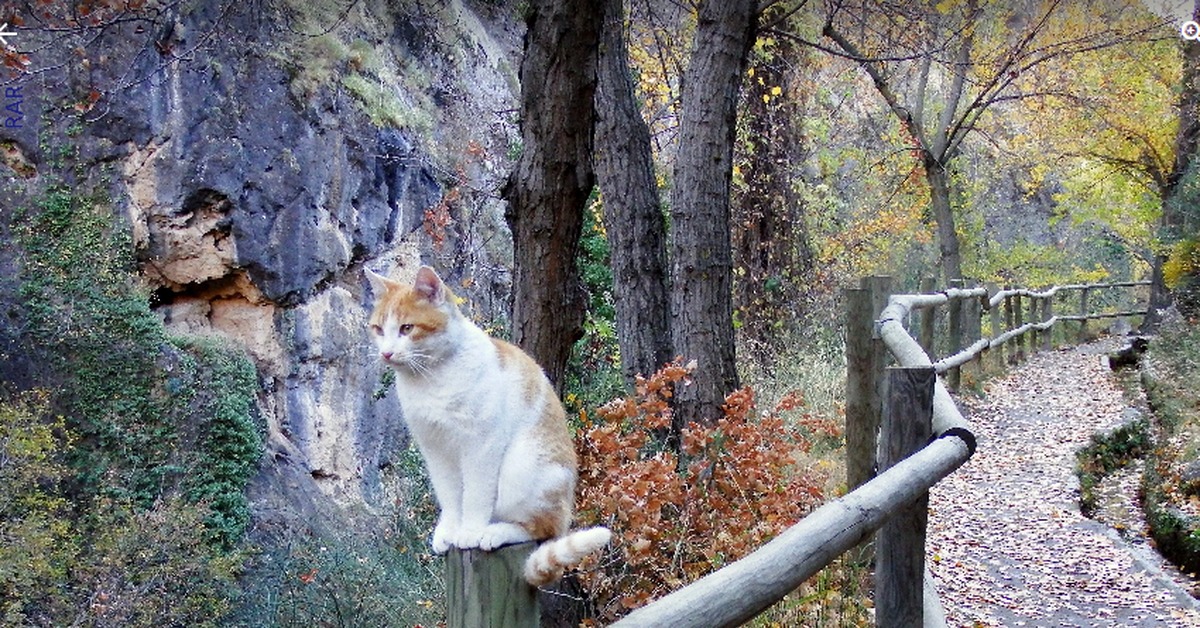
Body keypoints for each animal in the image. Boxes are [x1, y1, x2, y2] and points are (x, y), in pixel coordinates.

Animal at [362, 262, 609, 588]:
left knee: (543, 528)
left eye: (407, 328)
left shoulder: (481, 445)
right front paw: (450, 530)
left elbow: (476, 495)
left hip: (523, 468)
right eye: (379, 329)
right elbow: (450, 495)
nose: (387, 352)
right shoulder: (435, 449)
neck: (431, 380)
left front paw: (469, 532)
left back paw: (494, 532)